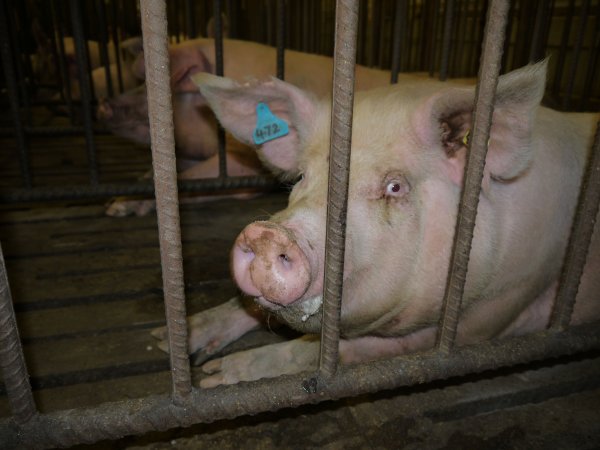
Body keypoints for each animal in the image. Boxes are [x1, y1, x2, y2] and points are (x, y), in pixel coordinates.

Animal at [151, 59, 600, 386]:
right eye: (302, 177)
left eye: (395, 186)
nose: (267, 234)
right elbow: (248, 305)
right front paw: (169, 343)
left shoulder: (496, 308)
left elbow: (322, 349)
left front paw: (215, 380)